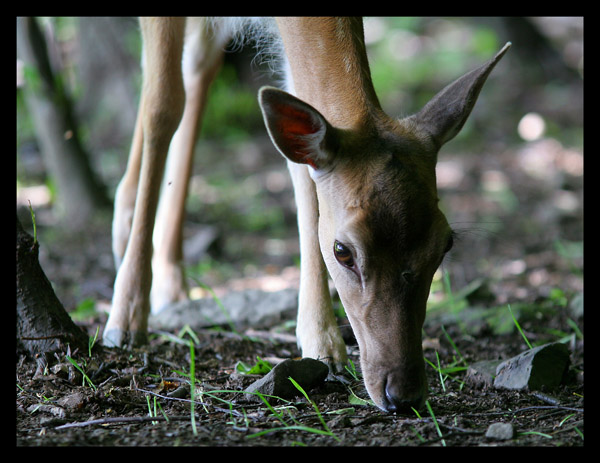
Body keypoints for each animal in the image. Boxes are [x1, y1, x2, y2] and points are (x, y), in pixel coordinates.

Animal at [105, 17, 508, 414]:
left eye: (446, 244)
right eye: (342, 251)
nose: (403, 396)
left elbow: (301, 170)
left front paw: (322, 343)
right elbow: (161, 107)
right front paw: (124, 319)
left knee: (199, 63)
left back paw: (168, 275)